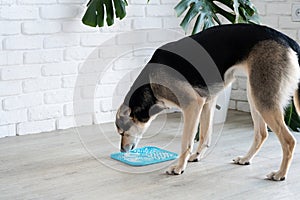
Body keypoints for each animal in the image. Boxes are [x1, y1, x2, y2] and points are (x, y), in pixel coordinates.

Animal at [115, 23, 300, 181]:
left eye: (122, 132)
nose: (122, 150)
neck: (150, 82)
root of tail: (286, 39)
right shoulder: (207, 102)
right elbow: (204, 136)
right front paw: (196, 156)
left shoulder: (192, 104)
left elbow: (186, 142)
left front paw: (179, 167)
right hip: (254, 95)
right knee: (261, 134)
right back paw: (246, 158)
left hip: (262, 99)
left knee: (289, 141)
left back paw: (280, 174)